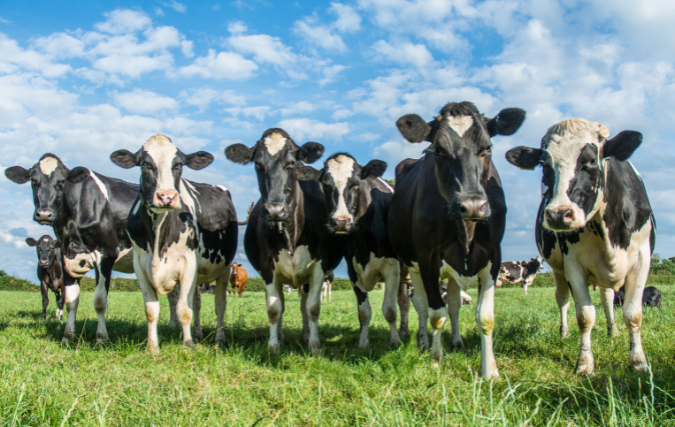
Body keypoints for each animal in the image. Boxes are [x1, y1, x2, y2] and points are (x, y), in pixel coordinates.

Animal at [110, 134, 238, 352]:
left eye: (178, 164)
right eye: (145, 164)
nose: (166, 196)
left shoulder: (188, 264)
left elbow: (183, 310)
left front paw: (187, 346)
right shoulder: (140, 265)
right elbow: (151, 309)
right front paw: (152, 348)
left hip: (224, 268)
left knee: (220, 304)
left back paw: (218, 340)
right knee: (197, 302)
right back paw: (198, 334)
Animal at [226, 127, 344, 354]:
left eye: (290, 164)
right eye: (257, 164)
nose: (274, 210)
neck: (290, 232)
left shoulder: (319, 265)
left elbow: (312, 308)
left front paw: (314, 346)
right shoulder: (267, 267)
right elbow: (274, 308)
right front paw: (273, 346)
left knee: (304, 304)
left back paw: (306, 335)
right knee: (280, 301)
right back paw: (280, 337)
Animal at [298, 155, 412, 350]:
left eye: (356, 183)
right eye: (325, 185)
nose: (341, 221)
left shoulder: (392, 267)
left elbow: (390, 309)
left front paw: (395, 342)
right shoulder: (353, 269)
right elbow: (364, 312)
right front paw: (364, 343)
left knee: (405, 302)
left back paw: (405, 333)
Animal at [386, 100, 528, 378]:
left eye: (488, 147)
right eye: (438, 150)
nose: (472, 205)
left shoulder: (493, 256)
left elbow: (484, 316)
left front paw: (490, 371)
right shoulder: (427, 258)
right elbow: (435, 314)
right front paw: (435, 361)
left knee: (453, 305)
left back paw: (457, 341)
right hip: (411, 265)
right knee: (420, 305)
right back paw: (423, 343)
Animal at [508, 118, 656, 374]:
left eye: (591, 160)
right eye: (544, 165)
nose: (559, 214)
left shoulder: (642, 260)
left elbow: (633, 314)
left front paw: (638, 362)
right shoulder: (573, 264)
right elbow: (585, 316)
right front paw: (585, 363)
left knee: (607, 299)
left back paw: (612, 331)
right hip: (560, 271)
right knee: (564, 300)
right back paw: (564, 332)